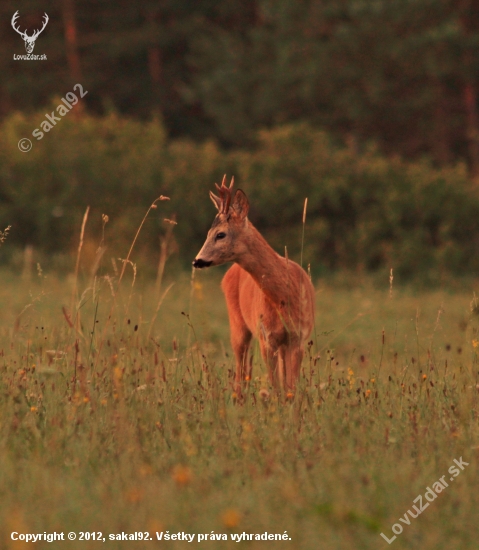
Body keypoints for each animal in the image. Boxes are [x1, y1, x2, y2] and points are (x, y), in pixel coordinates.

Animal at [193, 175, 316, 394]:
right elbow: (276, 387)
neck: (285, 298)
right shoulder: (266, 337)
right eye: (208, 232)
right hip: (237, 324)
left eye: (220, 234)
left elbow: (290, 388)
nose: (197, 260)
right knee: (240, 373)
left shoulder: (298, 337)